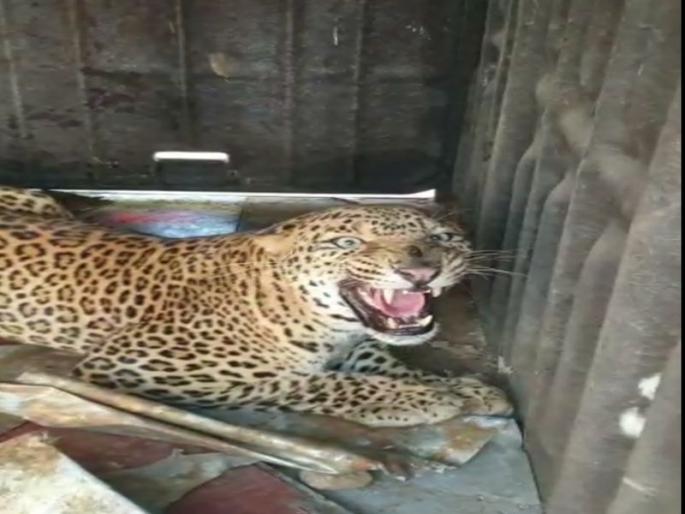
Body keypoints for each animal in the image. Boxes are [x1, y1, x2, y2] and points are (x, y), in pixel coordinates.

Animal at [0, 186, 511, 427]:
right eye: (347, 243)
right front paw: (413, 399)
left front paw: (461, 388)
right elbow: (302, 382)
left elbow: (389, 363)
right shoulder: (133, 364)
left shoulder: (358, 345)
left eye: (441, 238)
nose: (421, 270)